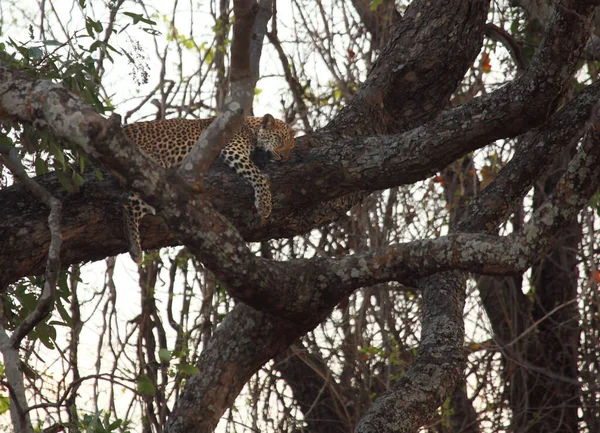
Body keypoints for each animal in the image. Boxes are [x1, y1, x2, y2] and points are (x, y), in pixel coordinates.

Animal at [120, 113, 294, 264]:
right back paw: (135, 250)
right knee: (129, 205)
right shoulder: (232, 149)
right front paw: (264, 205)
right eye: (279, 139)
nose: (285, 158)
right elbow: (257, 174)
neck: (251, 127)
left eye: (291, 147)